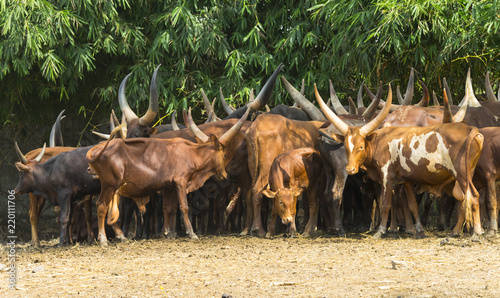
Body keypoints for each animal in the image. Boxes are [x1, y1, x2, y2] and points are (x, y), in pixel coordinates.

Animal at [87, 108, 250, 246]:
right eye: (223, 153)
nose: (225, 175)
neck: (191, 153)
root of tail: (96, 151)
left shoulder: (168, 187)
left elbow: (168, 208)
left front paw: (167, 233)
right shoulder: (181, 182)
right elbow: (184, 207)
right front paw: (191, 233)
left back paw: (120, 236)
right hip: (109, 185)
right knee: (101, 205)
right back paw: (103, 239)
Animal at [316, 82, 484, 239]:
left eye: (361, 147)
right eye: (346, 145)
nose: (350, 169)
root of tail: (472, 131)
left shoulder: (387, 176)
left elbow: (386, 202)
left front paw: (385, 230)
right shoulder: (404, 179)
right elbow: (408, 202)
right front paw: (410, 229)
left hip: (461, 174)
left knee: (471, 196)